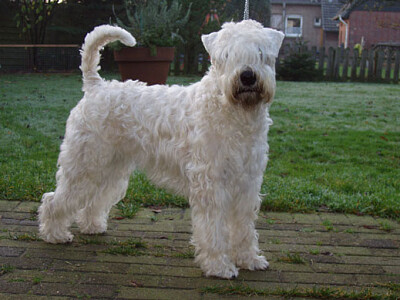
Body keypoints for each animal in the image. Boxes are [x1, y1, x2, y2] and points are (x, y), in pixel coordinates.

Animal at [38, 19, 284, 278]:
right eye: (226, 55)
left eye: (261, 53)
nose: (247, 76)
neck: (233, 114)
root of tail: (95, 87)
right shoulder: (212, 183)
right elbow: (214, 228)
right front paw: (218, 266)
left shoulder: (247, 182)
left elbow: (244, 227)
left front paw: (248, 259)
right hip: (85, 164)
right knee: (55, 199)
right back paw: (55, 234)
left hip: (110, 168)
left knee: (94, 200)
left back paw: (92, 226)